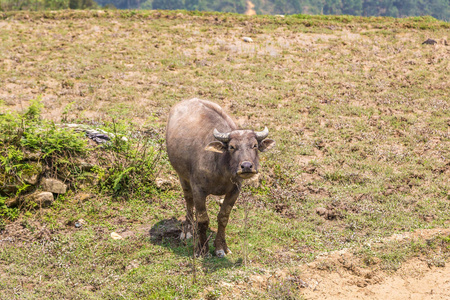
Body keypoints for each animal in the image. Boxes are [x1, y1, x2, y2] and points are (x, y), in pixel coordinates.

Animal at [166, 98, 274, 258]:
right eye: (232, 147)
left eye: (254, 145)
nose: (247, 166)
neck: (222, 171)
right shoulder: (198, 190)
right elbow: (203, 219)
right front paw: (202, 250)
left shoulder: (235, 191)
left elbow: (223, 217)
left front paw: (221, 248)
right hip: (182, 177)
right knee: (188, 201)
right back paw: (187, 231)